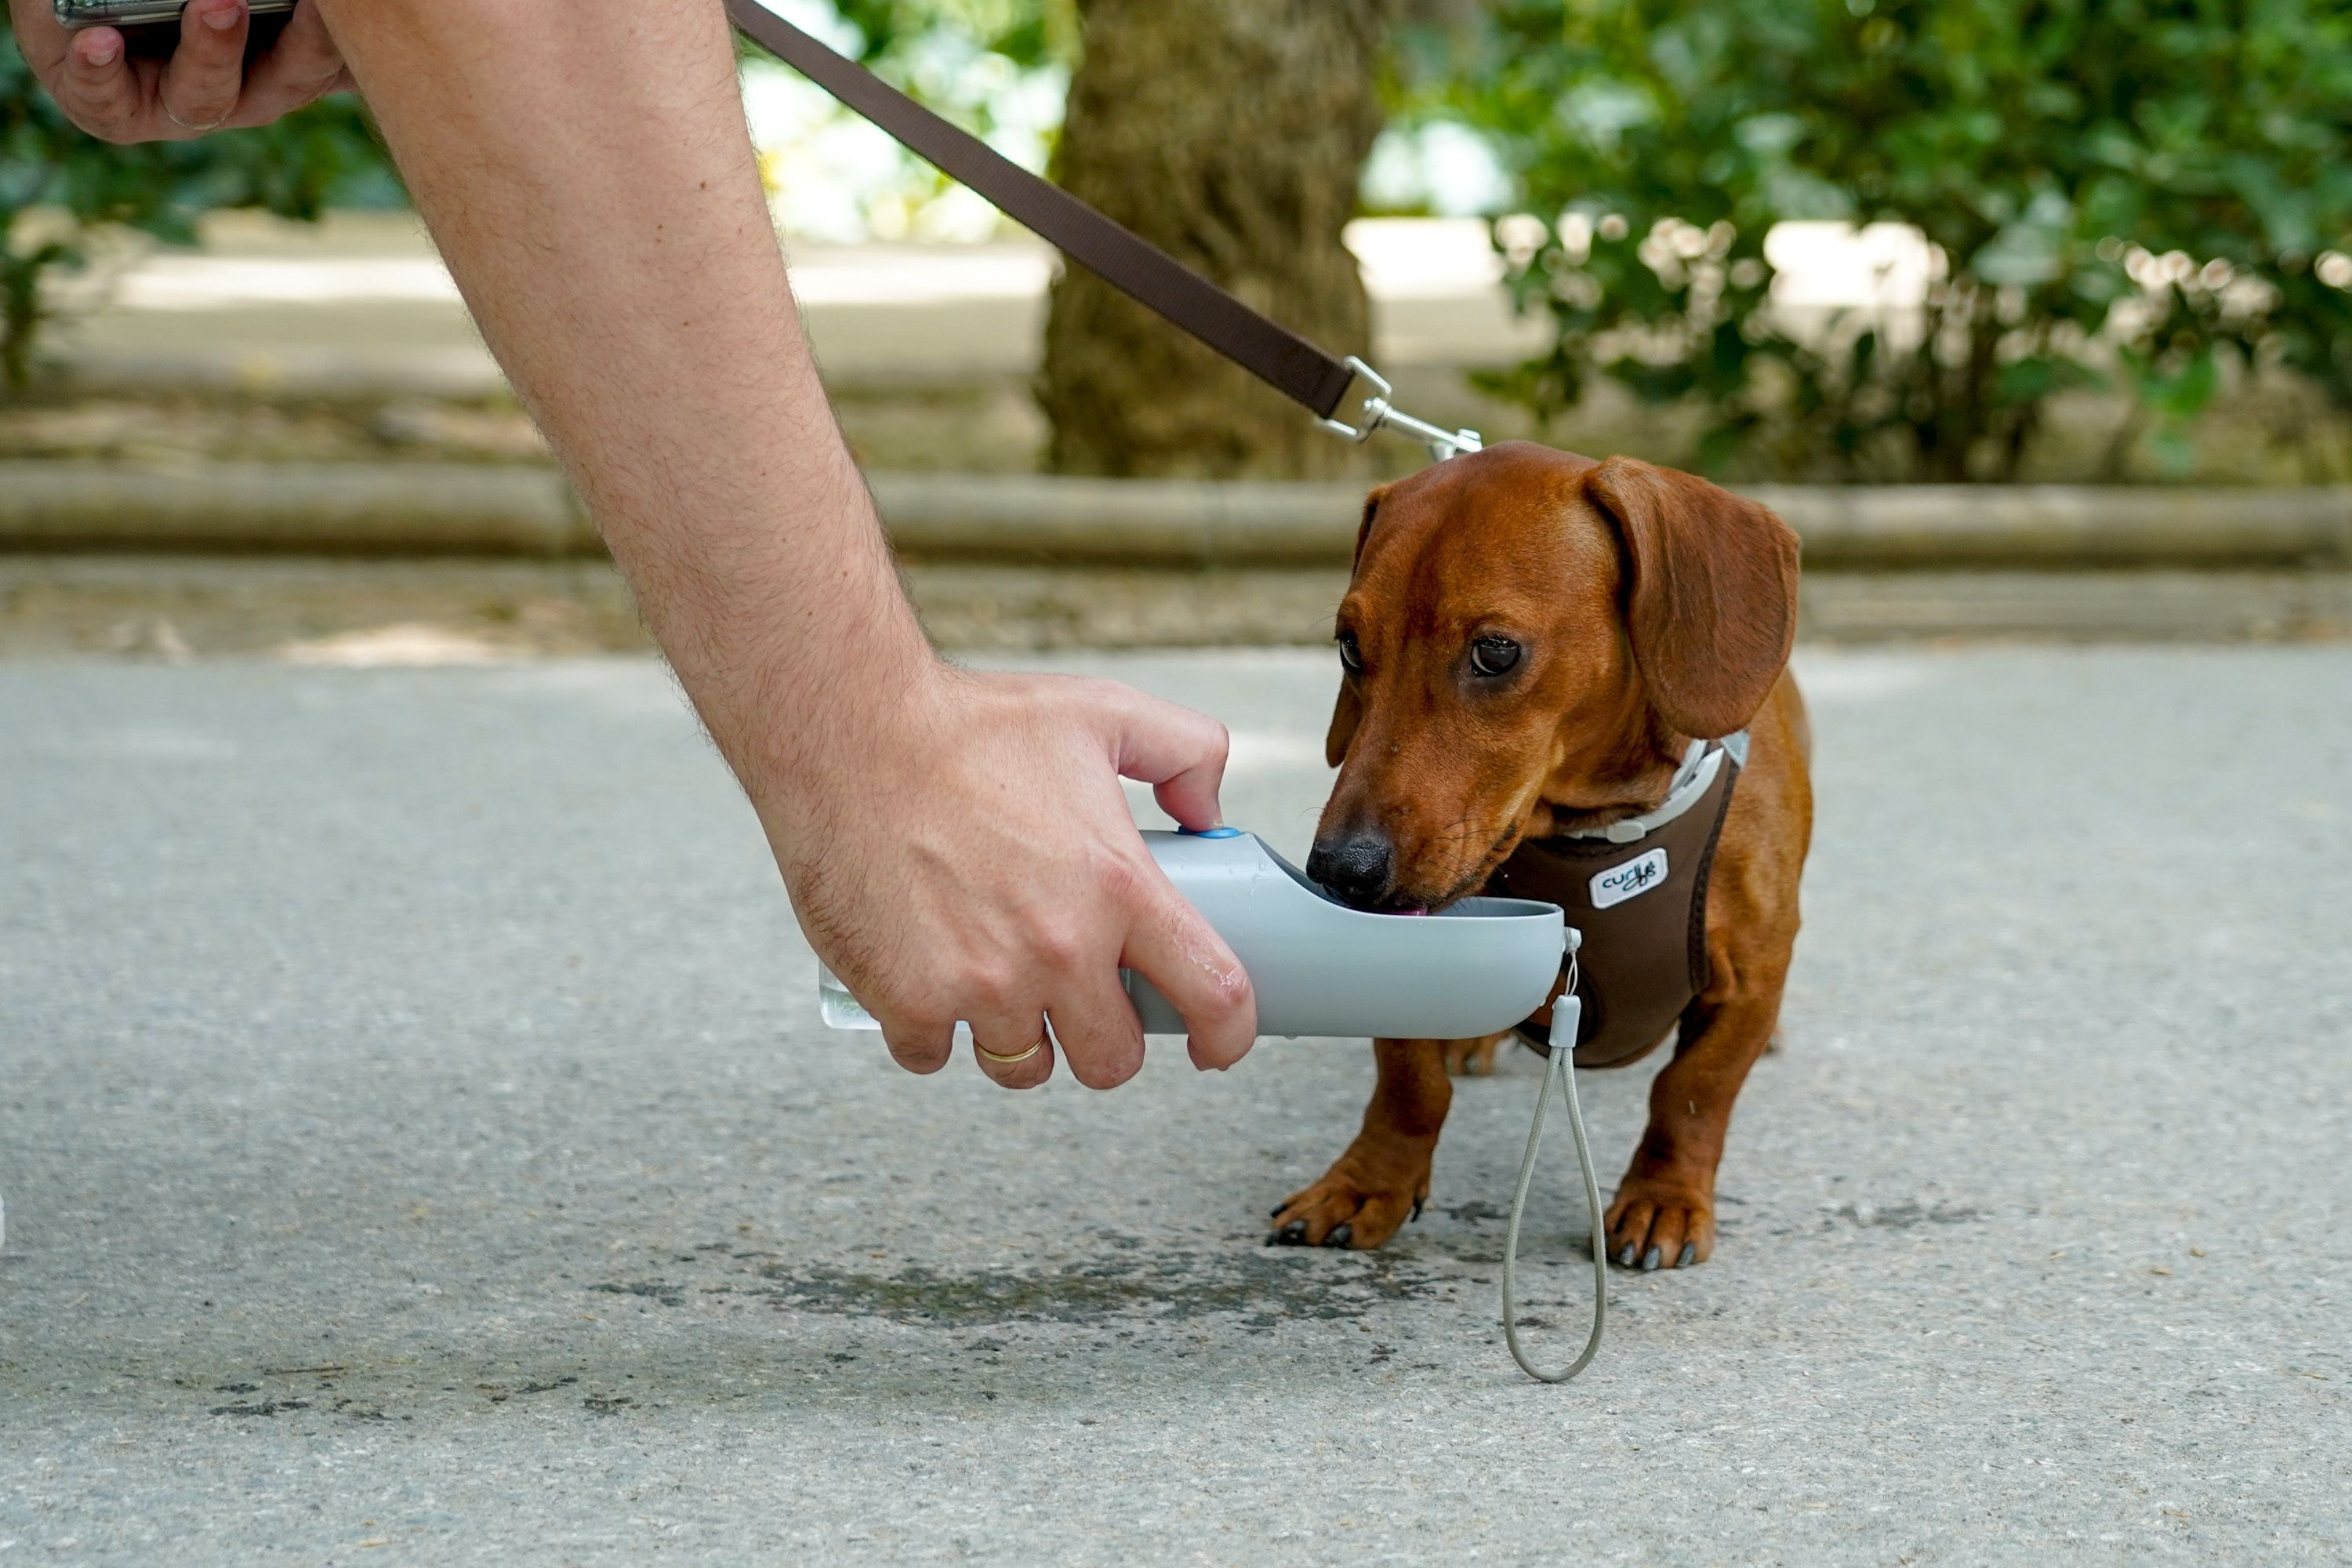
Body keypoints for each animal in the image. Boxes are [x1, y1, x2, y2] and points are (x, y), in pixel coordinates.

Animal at [1270, 441, 1797, 1279]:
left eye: (1495, 652)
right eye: (1350, 646)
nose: (1341, 872)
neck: (1602, 836)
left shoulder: (1752, 978)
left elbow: (1693, 1090)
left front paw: (1665, 1198)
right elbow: (1408, 1083)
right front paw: (1367, 1183)